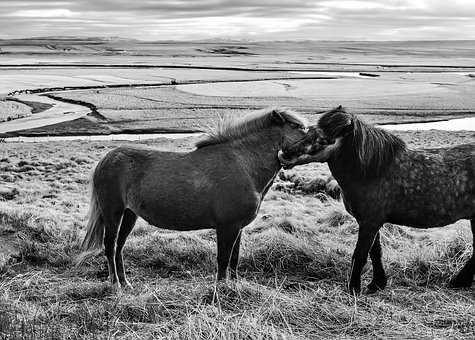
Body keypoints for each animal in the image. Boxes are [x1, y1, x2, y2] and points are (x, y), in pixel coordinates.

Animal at [80, 107, 306, 288]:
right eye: (297, 127)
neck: (243, 164)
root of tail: (106, 159)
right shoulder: (227, 227)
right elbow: (223, 260)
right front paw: (221, 289)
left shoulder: (237, 228)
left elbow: (234, 259)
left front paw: (233, 285)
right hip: (113, 213)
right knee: (110, 246)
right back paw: (116, 284)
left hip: (129, 214)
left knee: (119, 246)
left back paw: (125, 282)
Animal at [278, 107, 475, 294]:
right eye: (309, 130)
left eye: (324, 140)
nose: (284, 154)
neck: (371, 171)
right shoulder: (370, 222)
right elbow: (375, 252)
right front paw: (377, 283)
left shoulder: (370, 223)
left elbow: (360, 254)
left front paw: (354, 288)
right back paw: (460, 281)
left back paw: (458, 281)